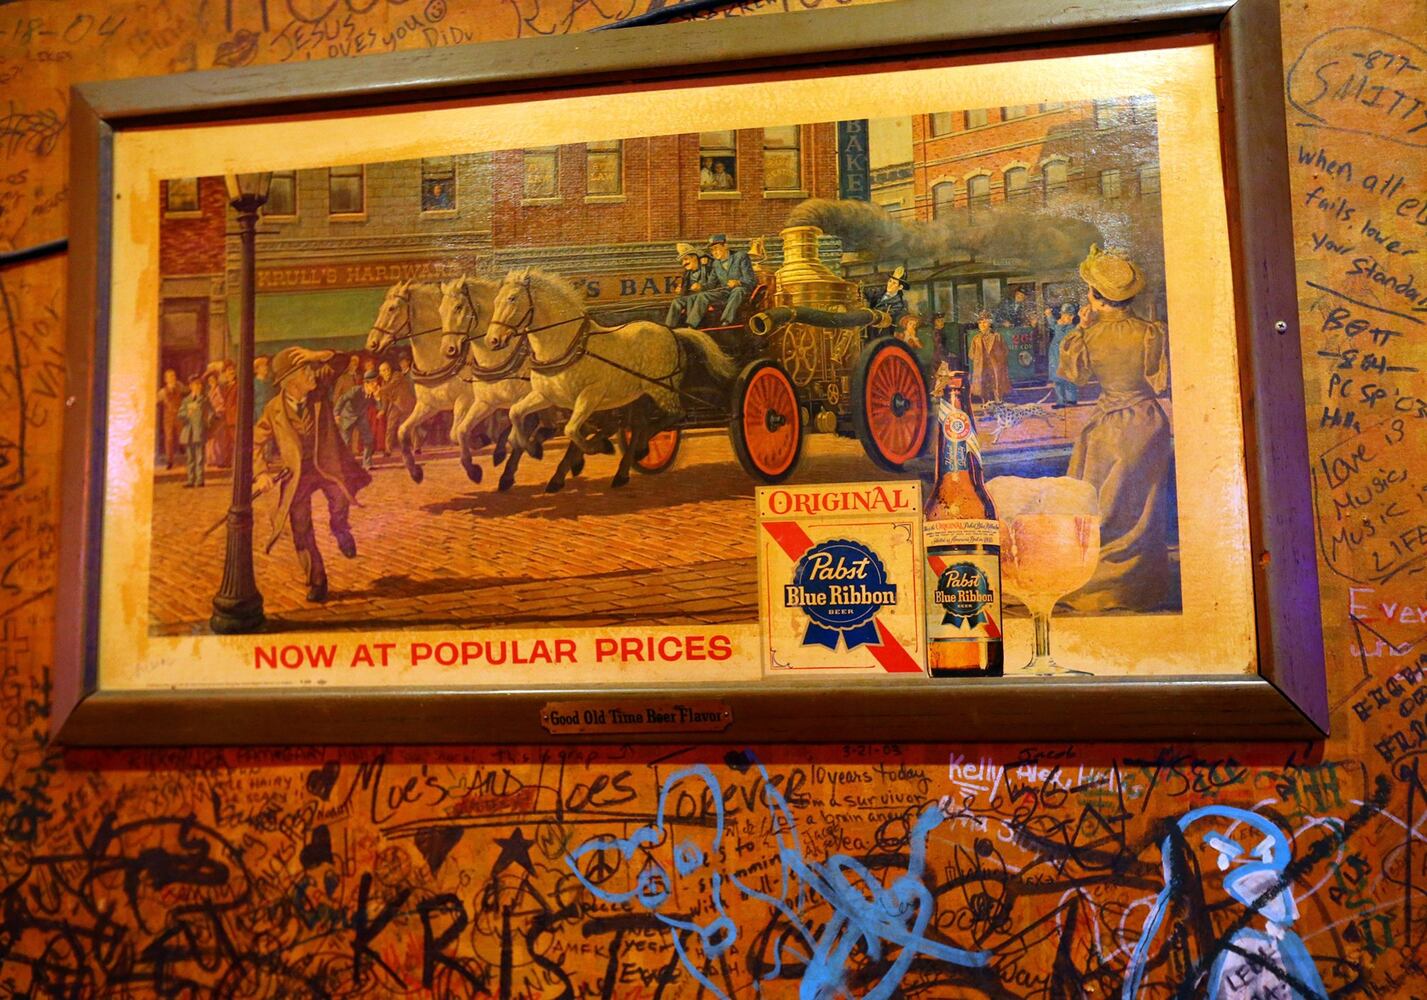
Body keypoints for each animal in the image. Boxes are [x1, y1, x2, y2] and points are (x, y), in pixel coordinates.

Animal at [483, 268, 735, 486]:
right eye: (495, 301)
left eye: (512, 299)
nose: (493, 340)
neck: (568, 346)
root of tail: (672, 331)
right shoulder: (546, 396)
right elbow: (516, 413)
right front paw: (528, 448)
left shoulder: (590, 396)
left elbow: (572, 429)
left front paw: (600, 448)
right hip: (642, 396)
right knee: (641, 424)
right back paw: (625, 469)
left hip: (661, 389)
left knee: (674, 416)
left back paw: (639, 447)